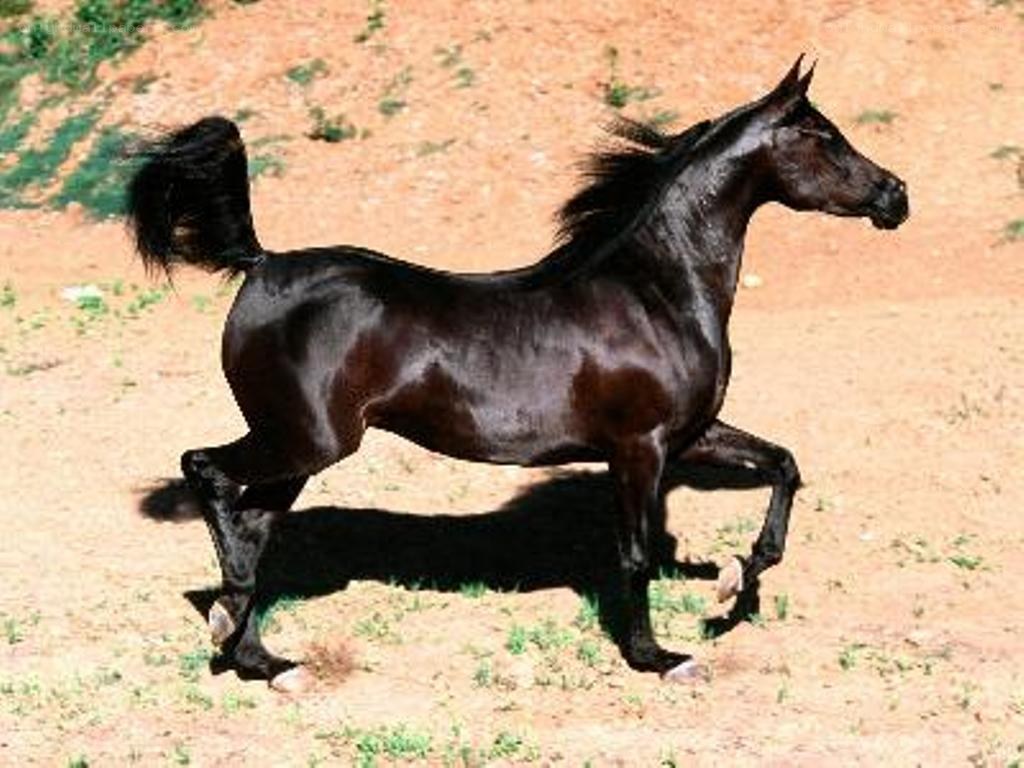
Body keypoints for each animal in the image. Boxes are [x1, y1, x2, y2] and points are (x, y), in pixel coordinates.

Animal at [127, 56, 908, 691]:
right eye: (825, 136)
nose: (896, 195)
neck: (655, 290)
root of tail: (261, 264)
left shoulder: (690, 434)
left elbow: (783, 464)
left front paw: (733, 583)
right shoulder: (640, 447)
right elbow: (635, 555)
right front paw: (659, 657)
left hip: (300, 450)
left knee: (253, 524)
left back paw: (262, 659)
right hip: (304, 439)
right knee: (207, 473)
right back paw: (230, 621)